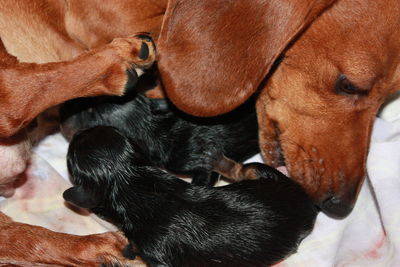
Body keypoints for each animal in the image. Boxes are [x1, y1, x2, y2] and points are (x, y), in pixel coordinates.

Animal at [63, 126, 318, 267]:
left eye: (70, 155)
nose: (78, 131)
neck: (131, 179)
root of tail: (305, 199)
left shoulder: (157, 254)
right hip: (267, 175)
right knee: (247, 169)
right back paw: (218, 161)